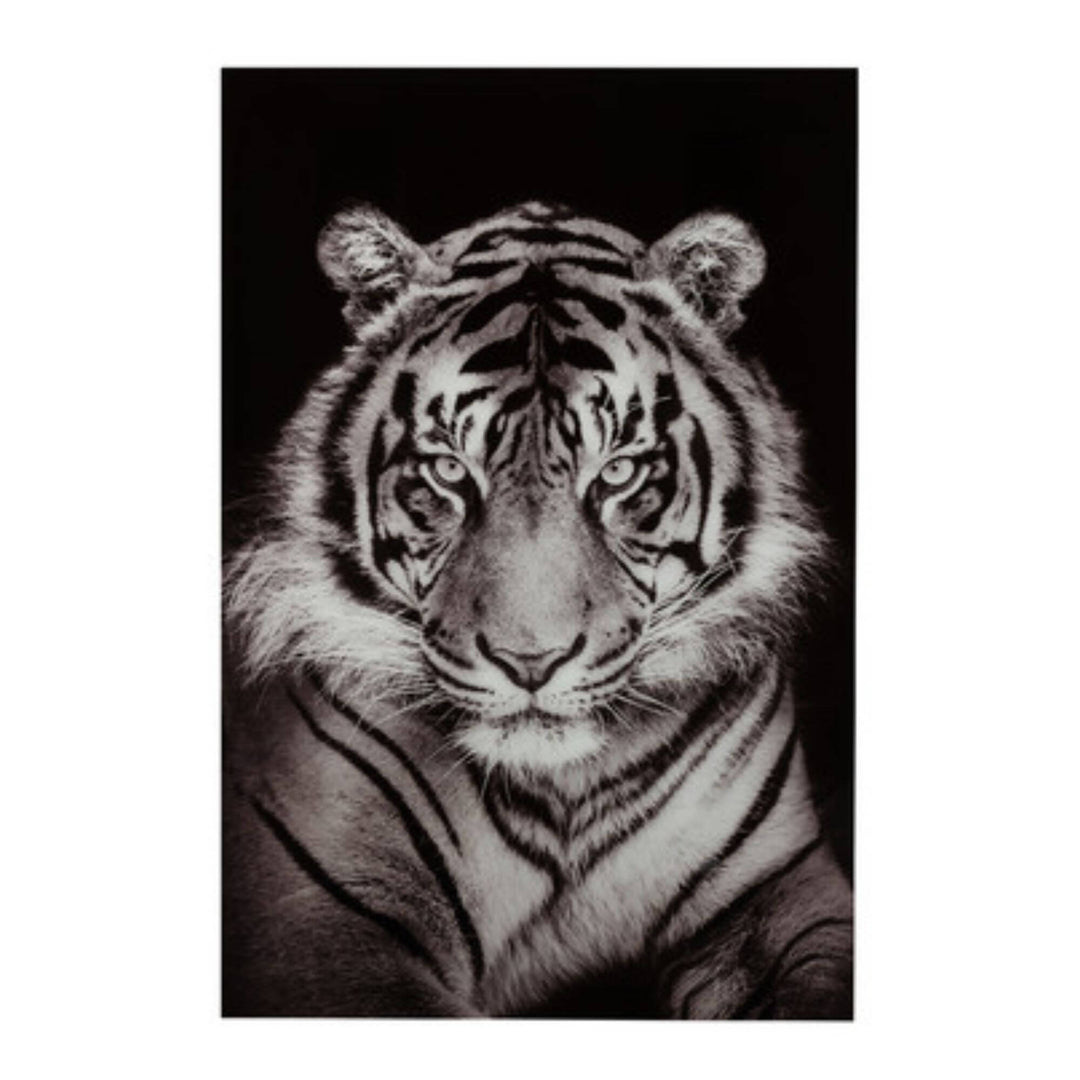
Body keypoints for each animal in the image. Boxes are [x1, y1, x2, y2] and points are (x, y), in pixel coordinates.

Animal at [223, 200, 853, 1018]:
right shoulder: (325, 923)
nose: (531, 662)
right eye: (448, 470)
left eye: (617, 472)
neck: (564, 794)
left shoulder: (786, 889)